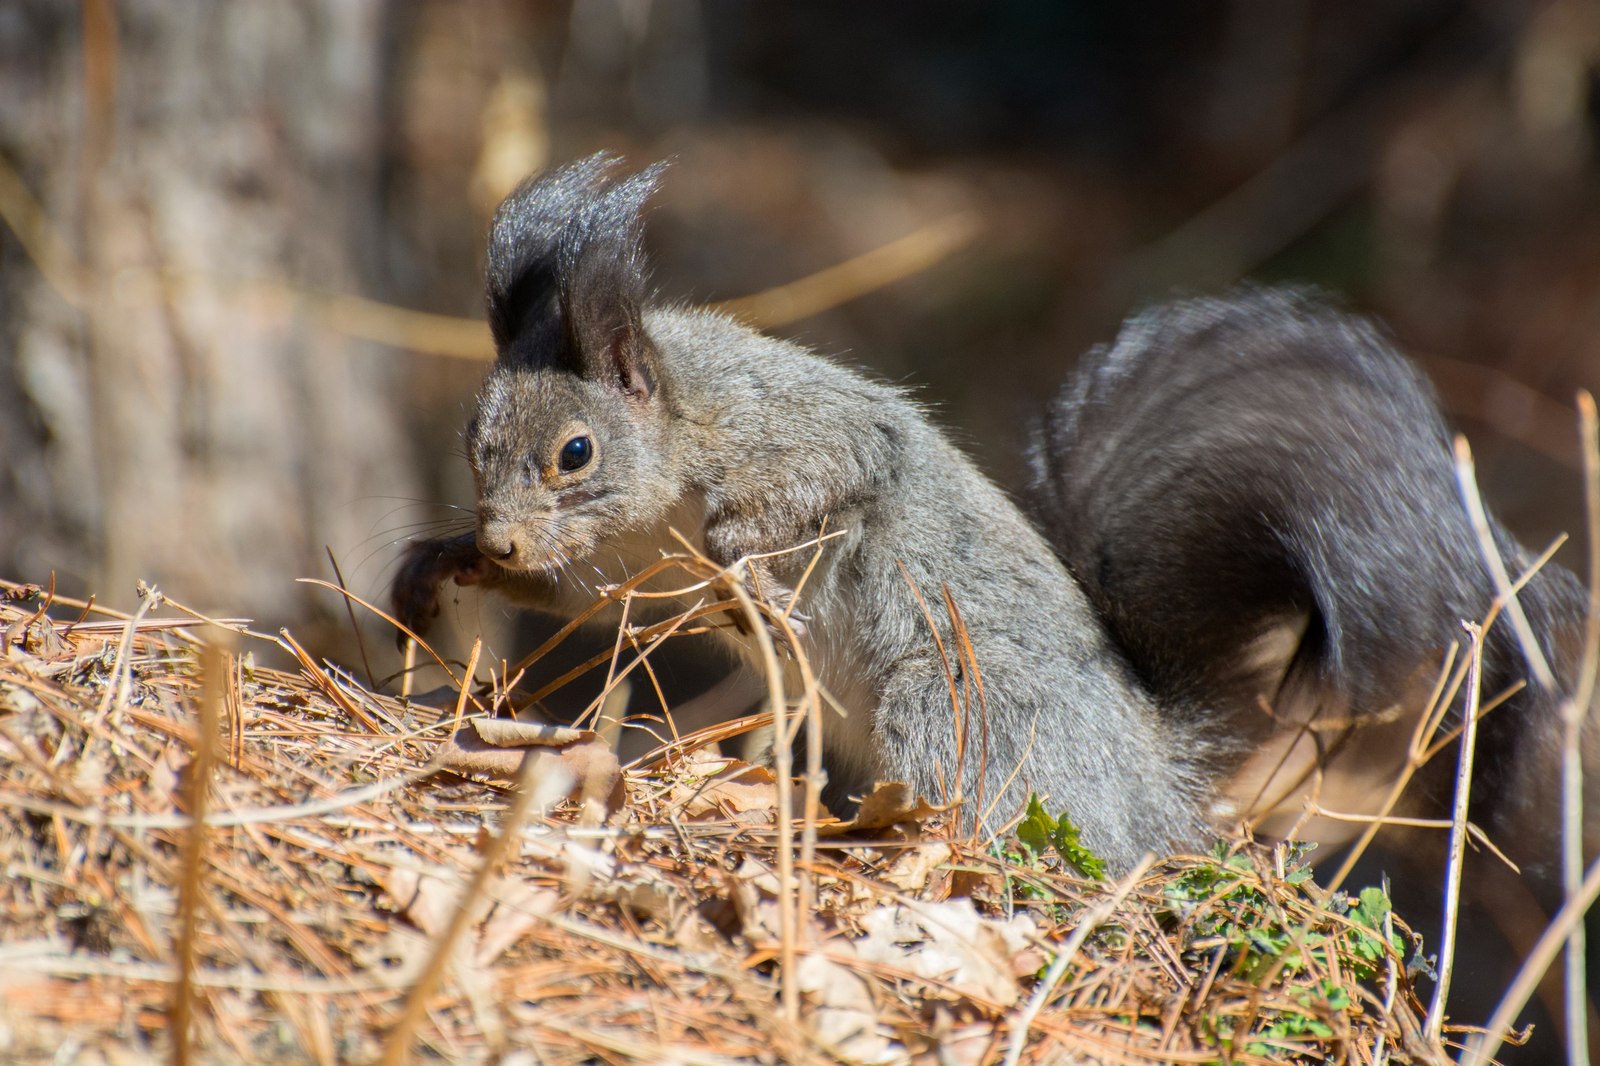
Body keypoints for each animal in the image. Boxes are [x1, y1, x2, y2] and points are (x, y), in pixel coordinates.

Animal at [393, 153, 1593, 889]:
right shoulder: (631, 573)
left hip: (955, 699)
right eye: (471, 438)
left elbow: (820, 488)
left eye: (577, 453)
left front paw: (752, 566)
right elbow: (588, 601)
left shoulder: (802, 436)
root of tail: (1152, 781)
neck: (677, 446)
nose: (498, 537)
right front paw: (441, 565)